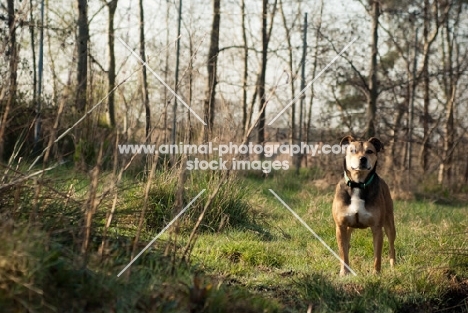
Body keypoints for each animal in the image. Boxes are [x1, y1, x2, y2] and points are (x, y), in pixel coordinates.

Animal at [332, 135, 394, 274]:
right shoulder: (341, 226)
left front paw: (376, 273)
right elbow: (343, 253)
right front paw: (344, 273)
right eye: (352, 151)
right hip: (348, 227)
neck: (358, 184)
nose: (363, 159)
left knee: (392, 245)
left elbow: (377, 255)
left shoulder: (377, 228)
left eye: (369, 151)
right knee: (347, 244)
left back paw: (394, 266)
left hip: (389, 223)